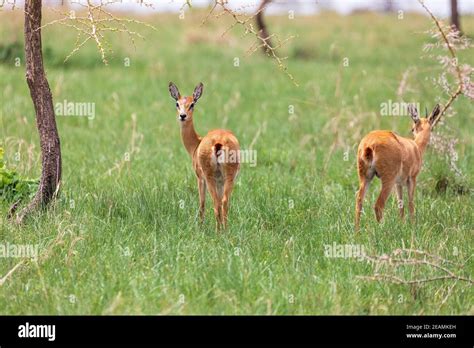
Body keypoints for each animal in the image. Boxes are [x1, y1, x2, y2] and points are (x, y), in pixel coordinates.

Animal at [168, 81, 241, 231]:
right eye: (177, 103)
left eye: (192, 104)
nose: (182, 116)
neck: (196, 144)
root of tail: (219, 142)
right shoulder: (220, 181)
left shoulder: (200, 178)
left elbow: (201, 203)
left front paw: (200, 226)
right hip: (229, 176)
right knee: (224, 201)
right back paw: (225, 231)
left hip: (209, 176)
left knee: (215, 203)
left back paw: (218, 231)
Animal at [356, 103, 440, 231]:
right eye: (412, 128)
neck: (416, 148)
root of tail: (369, 144)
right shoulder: (411, 179)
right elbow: (410, 202)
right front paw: (412, 225)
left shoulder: (398, 183)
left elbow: (400, 204)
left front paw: (403, 224)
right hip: (388, 179)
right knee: (378, 205)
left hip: (366, 177)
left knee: (359, 200)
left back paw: (357, 231)